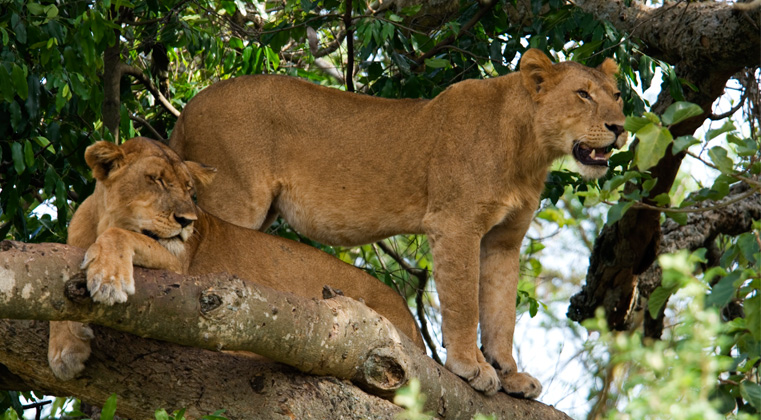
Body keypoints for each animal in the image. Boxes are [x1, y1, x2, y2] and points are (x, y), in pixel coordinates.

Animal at [48, 136, 424, 378]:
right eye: (156, 181)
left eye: (190, 191)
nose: (188, 221)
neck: (102, 219)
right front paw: (65, 350)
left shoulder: (178, 267)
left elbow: (121, 237)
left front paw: (109, 280)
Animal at [169, 48, 628, 398]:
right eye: (583, 94)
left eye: (617, 95)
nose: (619, 127)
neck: (528, 148)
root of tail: (188, 108)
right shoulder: (456, 224)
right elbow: (465, 304)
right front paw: (470, 366)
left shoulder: (504, 239)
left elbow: (501, 312)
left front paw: (510, 373)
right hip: (234, 197)